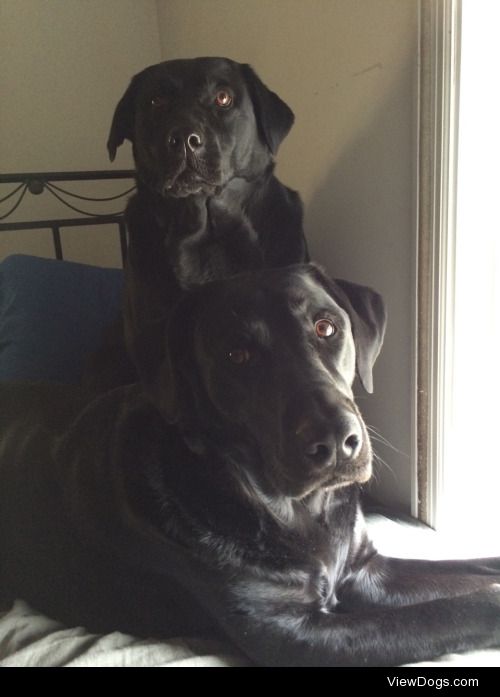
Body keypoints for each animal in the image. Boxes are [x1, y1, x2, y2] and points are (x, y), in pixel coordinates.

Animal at [0, 266, 500, 664]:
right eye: (236, 355)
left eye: (326, 327)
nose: (337, 442)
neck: (295, 510)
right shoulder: (296, 634)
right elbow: (452, 611)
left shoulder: (366, 571)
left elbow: (472, 570)